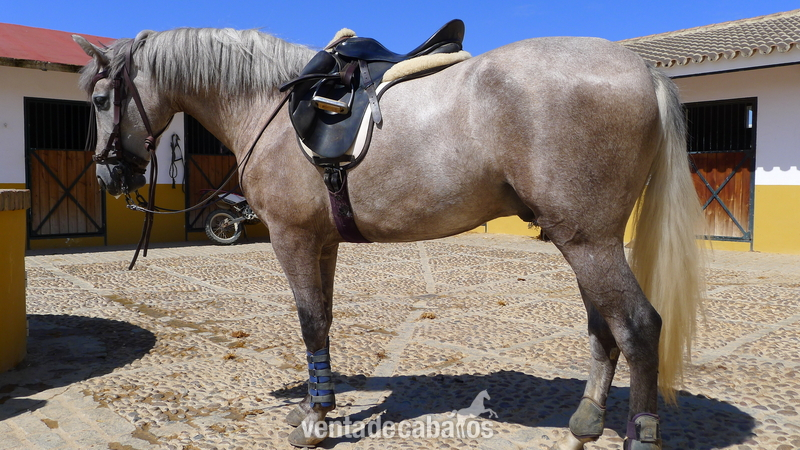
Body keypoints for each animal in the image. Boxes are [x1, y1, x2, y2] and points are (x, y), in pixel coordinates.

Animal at [73, 24, 704, 449]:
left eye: (102, 99)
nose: (107, 176)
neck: (267, 105)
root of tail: (642, 70)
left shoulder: (292, 238)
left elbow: (310, 321)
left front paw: (315, 421)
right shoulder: (323, 242)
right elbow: (325, 318)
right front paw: (319, 403)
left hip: (589, 241)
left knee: (639, 327)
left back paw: (637, 432)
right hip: (582, 238)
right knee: (604, 323)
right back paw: (586, 421)